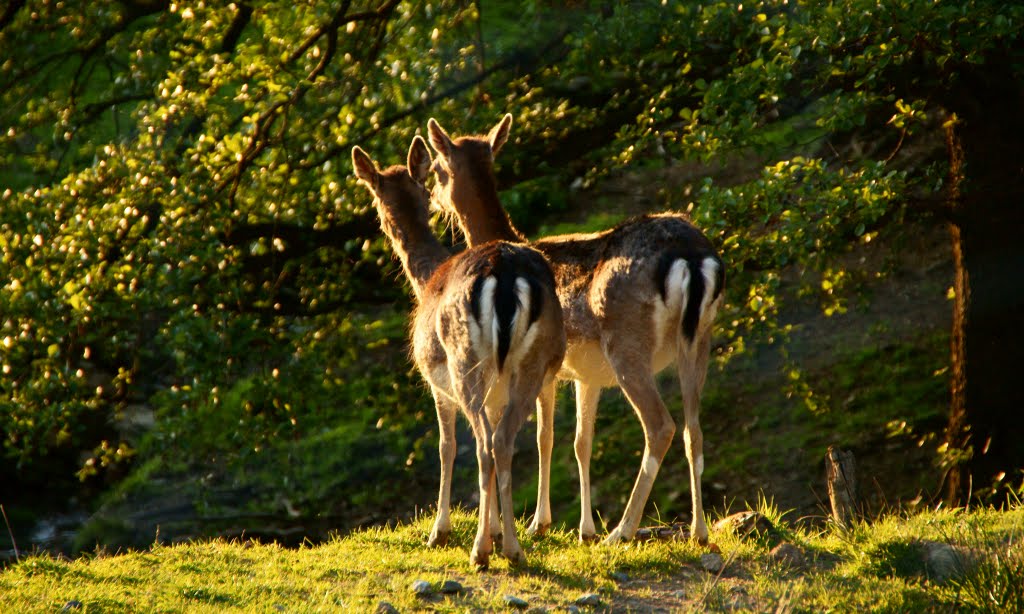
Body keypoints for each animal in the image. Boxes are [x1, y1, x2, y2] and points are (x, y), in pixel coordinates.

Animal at [352, 137, 569, 568]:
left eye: (376, 205)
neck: (424, 281)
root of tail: (504, 276)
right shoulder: (497, 392)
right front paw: (498, 526)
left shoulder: (434, 381)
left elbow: (445, 447)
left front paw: (440, 531)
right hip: (532, 363)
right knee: (504, 441)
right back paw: (510, 545)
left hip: (463, 361)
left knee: (484, 446)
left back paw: (484, 551)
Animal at [428, 116, 724, 548]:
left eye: (436, 168)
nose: (435, 203)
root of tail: (691, 257)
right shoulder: (588, 376)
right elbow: (582, 442)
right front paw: (583, 528)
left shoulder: (548, 369)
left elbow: (544, 437)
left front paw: (539, 523)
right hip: (701, 338)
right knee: (694, 428)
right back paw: (698, 532)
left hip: (627, 342)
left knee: (661, 425)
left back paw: (622, 530)